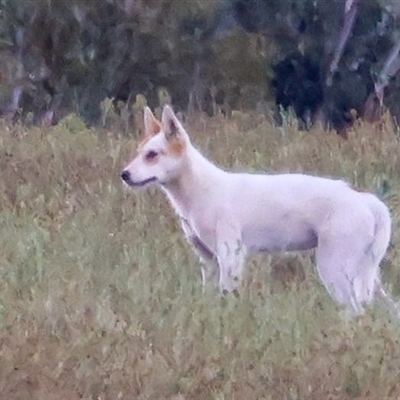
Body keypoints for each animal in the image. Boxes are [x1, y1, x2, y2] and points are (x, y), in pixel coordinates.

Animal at [122, 104, 396, 318]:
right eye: (139, 152)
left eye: (152, 155)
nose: (124, 174)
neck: (201, 190)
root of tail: (364, 200)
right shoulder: (208, 262)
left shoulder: (230, 258)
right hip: (367, 275)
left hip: (336, 270)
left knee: (355, 311)